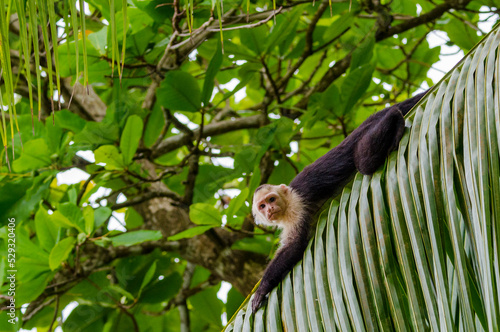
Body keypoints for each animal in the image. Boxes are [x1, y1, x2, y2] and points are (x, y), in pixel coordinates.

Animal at [250, 91, 426, 314]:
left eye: (271, 199)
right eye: (262, 206)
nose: (270, 209)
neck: (287, 200)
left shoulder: (296, 207)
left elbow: (294, 246)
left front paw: (261, 289)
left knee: (364, 161)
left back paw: (394, 116)